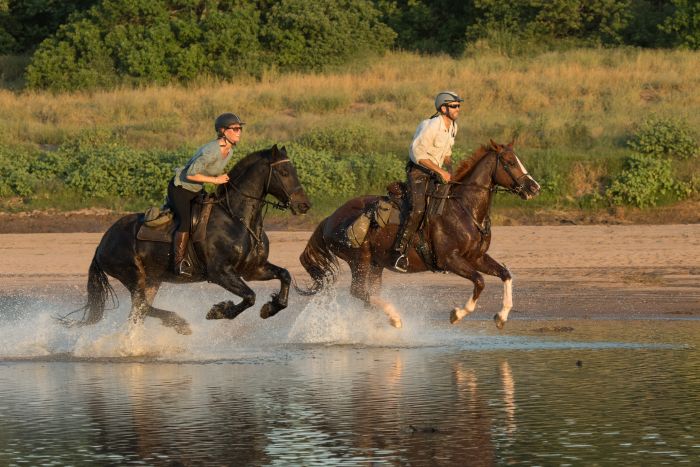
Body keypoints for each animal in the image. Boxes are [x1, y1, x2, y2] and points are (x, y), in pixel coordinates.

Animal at [63, 145, 308, 332]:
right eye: (284, 172)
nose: (304, 205)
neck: (238, 219)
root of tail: (101, 244)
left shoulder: (252, 269)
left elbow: (285, 276)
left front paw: (271, 308)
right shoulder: (220, 273)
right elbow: (249, 296)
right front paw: (218, 311)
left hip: (152, 280)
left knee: (138, 311)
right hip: (132, 276)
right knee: (142, 306)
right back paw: (178, 322)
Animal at [296, 141, 540, 330]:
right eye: (509, 163)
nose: (534, 188)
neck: (464, 209)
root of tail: (330, 219)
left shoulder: (476, 258)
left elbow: (505, 274)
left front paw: (501, 317)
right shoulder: (450, 259)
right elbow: (479, 282)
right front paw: (457, 314)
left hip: (375, 264)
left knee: (369, 294)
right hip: (360, 260)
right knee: (358, 291)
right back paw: (394, 317)